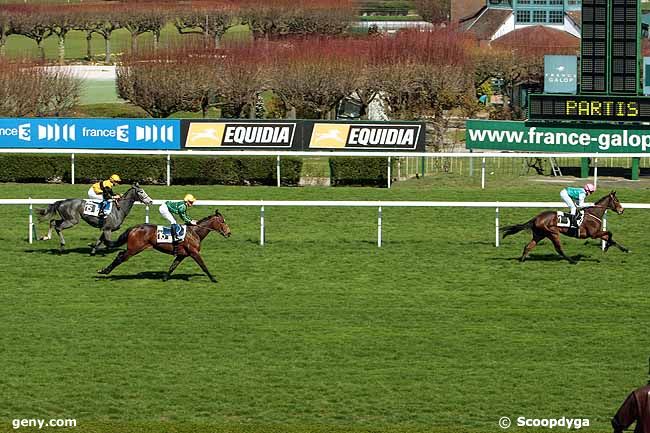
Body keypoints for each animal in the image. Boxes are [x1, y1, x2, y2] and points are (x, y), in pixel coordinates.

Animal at [98, 210, 230, 284]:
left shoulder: (182, 255)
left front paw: (165, 278)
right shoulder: (194, 253)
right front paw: (213, 279)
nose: (229, 233)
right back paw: (104, 271)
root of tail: (134, 228)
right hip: (133, 249)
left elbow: (173, 266)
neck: (195, 232)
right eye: (222, 221)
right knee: (120, 257)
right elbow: (203, 266)